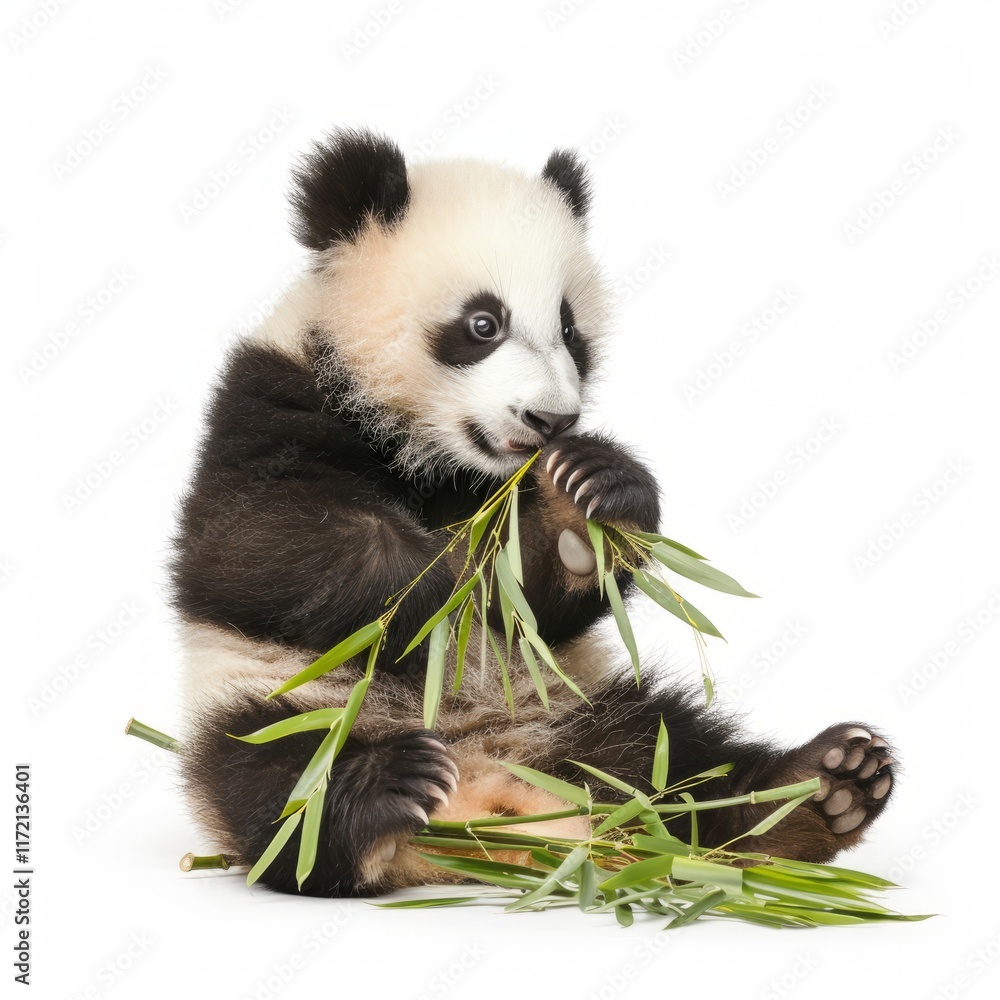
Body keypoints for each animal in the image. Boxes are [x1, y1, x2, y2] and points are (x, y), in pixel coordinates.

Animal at [171, 126, 896, 897]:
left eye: (571, 329)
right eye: (483, 323)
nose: (551, 419)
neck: (433, 452)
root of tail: (491, 786)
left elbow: (546, 601)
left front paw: (591, 498)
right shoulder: (270, 398)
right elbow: (255, 546)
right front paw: (442, 589)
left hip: (585, 709)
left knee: (681, 761)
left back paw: (821, 791)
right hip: (280, 703)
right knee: (274, 790)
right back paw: (383, 792)